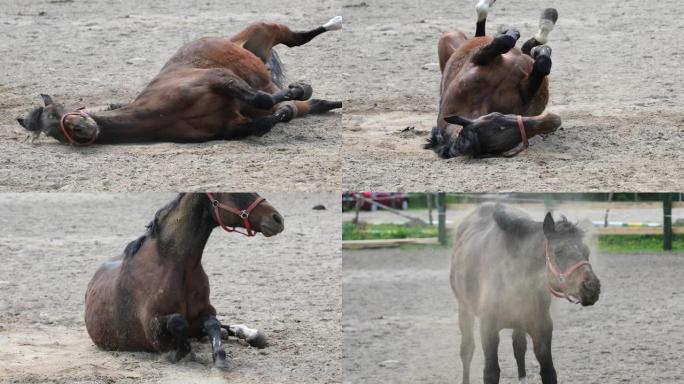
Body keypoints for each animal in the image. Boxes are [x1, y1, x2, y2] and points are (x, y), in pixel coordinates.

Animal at [17, 16, 342, 144]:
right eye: (48, 131)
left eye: (57, 111)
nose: (81, 130)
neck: (165, 111)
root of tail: (233, 41)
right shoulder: (231, 126)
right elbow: (265, 119)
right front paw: (284, 106)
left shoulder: (219, 78)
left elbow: (262, 98)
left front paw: (296, 89)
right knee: (316, 104)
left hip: (265, 28)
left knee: (298, 39)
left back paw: (334, 24)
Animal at [85, 194, 284, 368]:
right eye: (235, 192)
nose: (277, 219)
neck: (176, 266)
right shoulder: (153, 331)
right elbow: (177, 322)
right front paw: (183, 353)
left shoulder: (207, 311)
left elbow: (213, 323)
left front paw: (220, 357)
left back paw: (250, 334)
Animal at [424, 0, 564, 158]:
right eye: (501, 124)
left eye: (498, 117)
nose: (553, 120)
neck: (478, 100)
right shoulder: (525, 95)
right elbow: (538, 64)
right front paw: (539, 50)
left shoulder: (478, 58)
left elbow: (504, 42)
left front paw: (512, 33)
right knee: (529, 44)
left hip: (450, 37)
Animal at [452, 202, 600, 382]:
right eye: (558, 251)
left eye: (587, 251)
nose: (592, 287)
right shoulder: (488, 328)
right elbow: (491, 372)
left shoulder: (541, 327)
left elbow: (548, 371)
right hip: (464, 309)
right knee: (467, 350)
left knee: (519, 348)